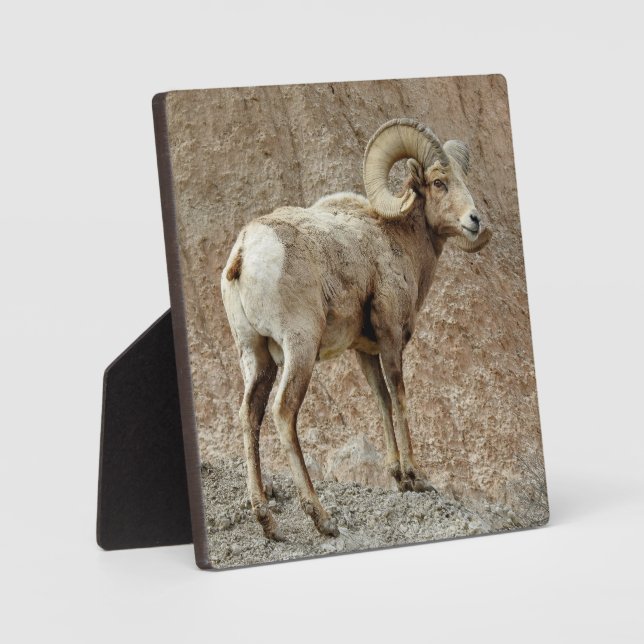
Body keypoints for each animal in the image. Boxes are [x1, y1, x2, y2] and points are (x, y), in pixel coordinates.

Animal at [221, 118, 492, 540]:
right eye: (438, 183)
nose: (474, 220)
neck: (396, 239)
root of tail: (245, 252)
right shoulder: (391, 339)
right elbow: (399, 397)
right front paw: (416, 478)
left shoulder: (364, 351)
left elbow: (380, 400)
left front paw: (398, 476)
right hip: (299, 350)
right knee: (284, 413)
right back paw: (322, 518)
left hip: (256, 356)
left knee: (250, 417)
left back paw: (268, 522)